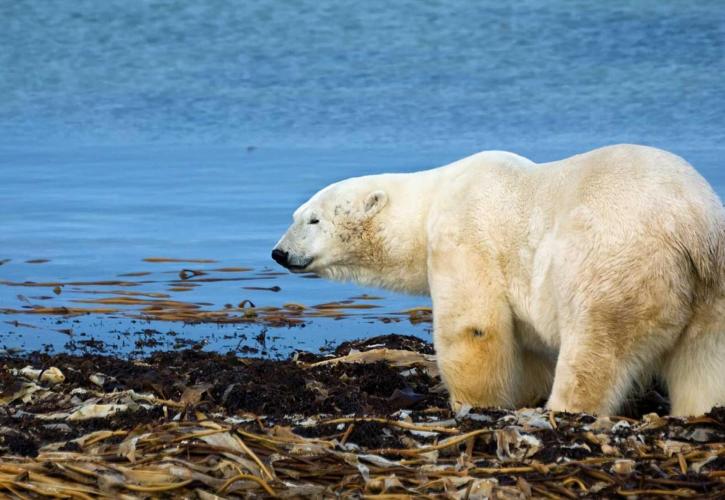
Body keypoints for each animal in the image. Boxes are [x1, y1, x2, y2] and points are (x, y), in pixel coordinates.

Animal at [272, 146, 724, 418]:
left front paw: (471, 405)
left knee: (596, 348)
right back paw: (702, 410)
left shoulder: (464, 231)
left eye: (312, 219)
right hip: (712, 288)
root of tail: (692, 226)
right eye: (297, 215)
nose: (279, 253)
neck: (433, 197)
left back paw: (562, 409)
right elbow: (529, 347)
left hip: (614, 264)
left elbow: (474, 326)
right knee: (705, 361)